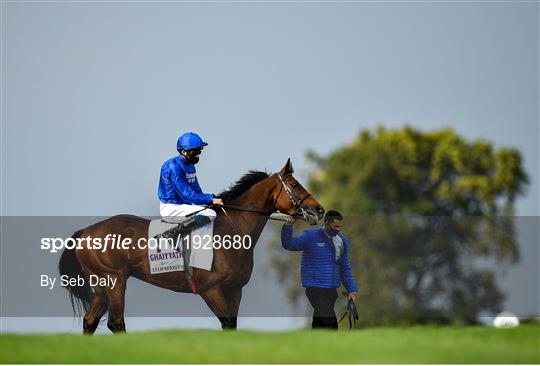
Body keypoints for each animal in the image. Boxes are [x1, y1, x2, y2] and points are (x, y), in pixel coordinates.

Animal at [58, 159, 324, 334]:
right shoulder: (211, 289)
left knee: (91, 320)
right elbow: (227, 323)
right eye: (295, 184)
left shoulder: (235, 290)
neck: (232, 231)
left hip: (102, 284)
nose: (319, 209)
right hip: (115, 280)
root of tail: (86, 232)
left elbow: (232, 326)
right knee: (115, 322)